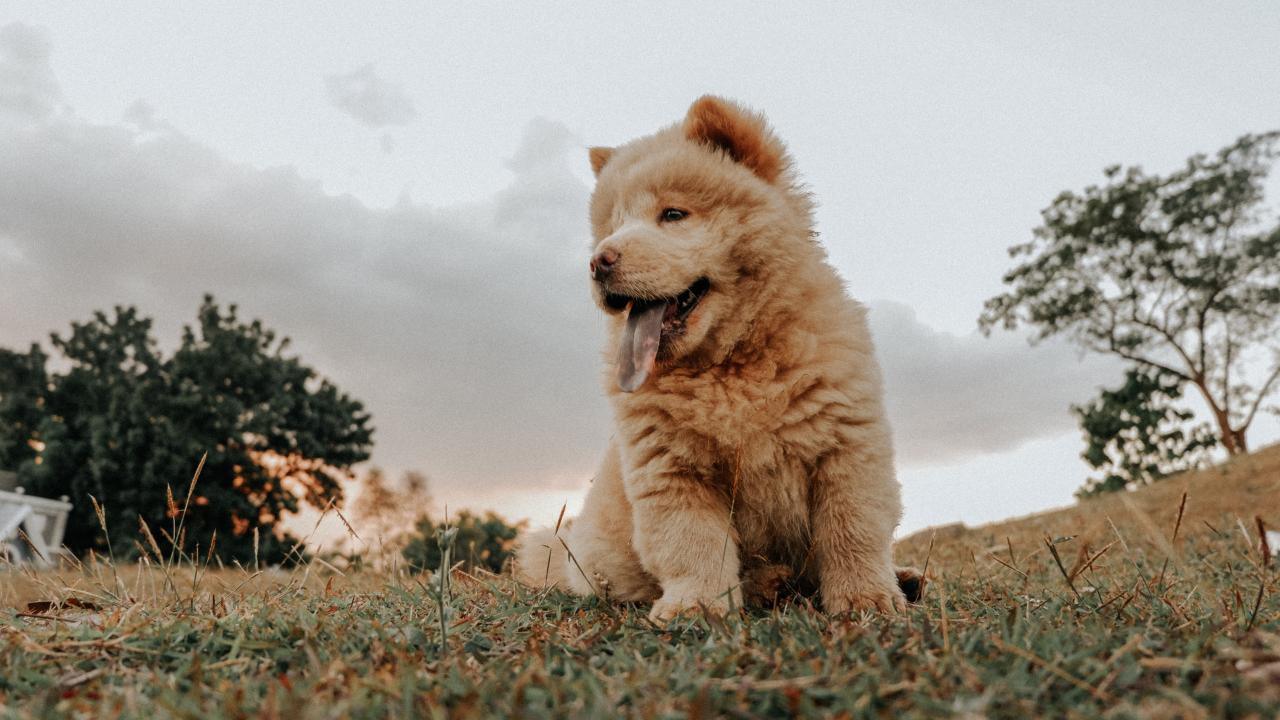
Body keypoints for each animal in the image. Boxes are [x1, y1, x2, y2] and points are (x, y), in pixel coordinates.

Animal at [512, 95, 911, 620]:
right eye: (612, 227)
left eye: (673, 214)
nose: (599, 261)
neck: (731, 363)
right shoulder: (671, 467)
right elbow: (693, 544)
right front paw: (695, 607)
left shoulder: (846, 443)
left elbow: (852, 530)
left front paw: (867, 599)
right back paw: (768, 585)